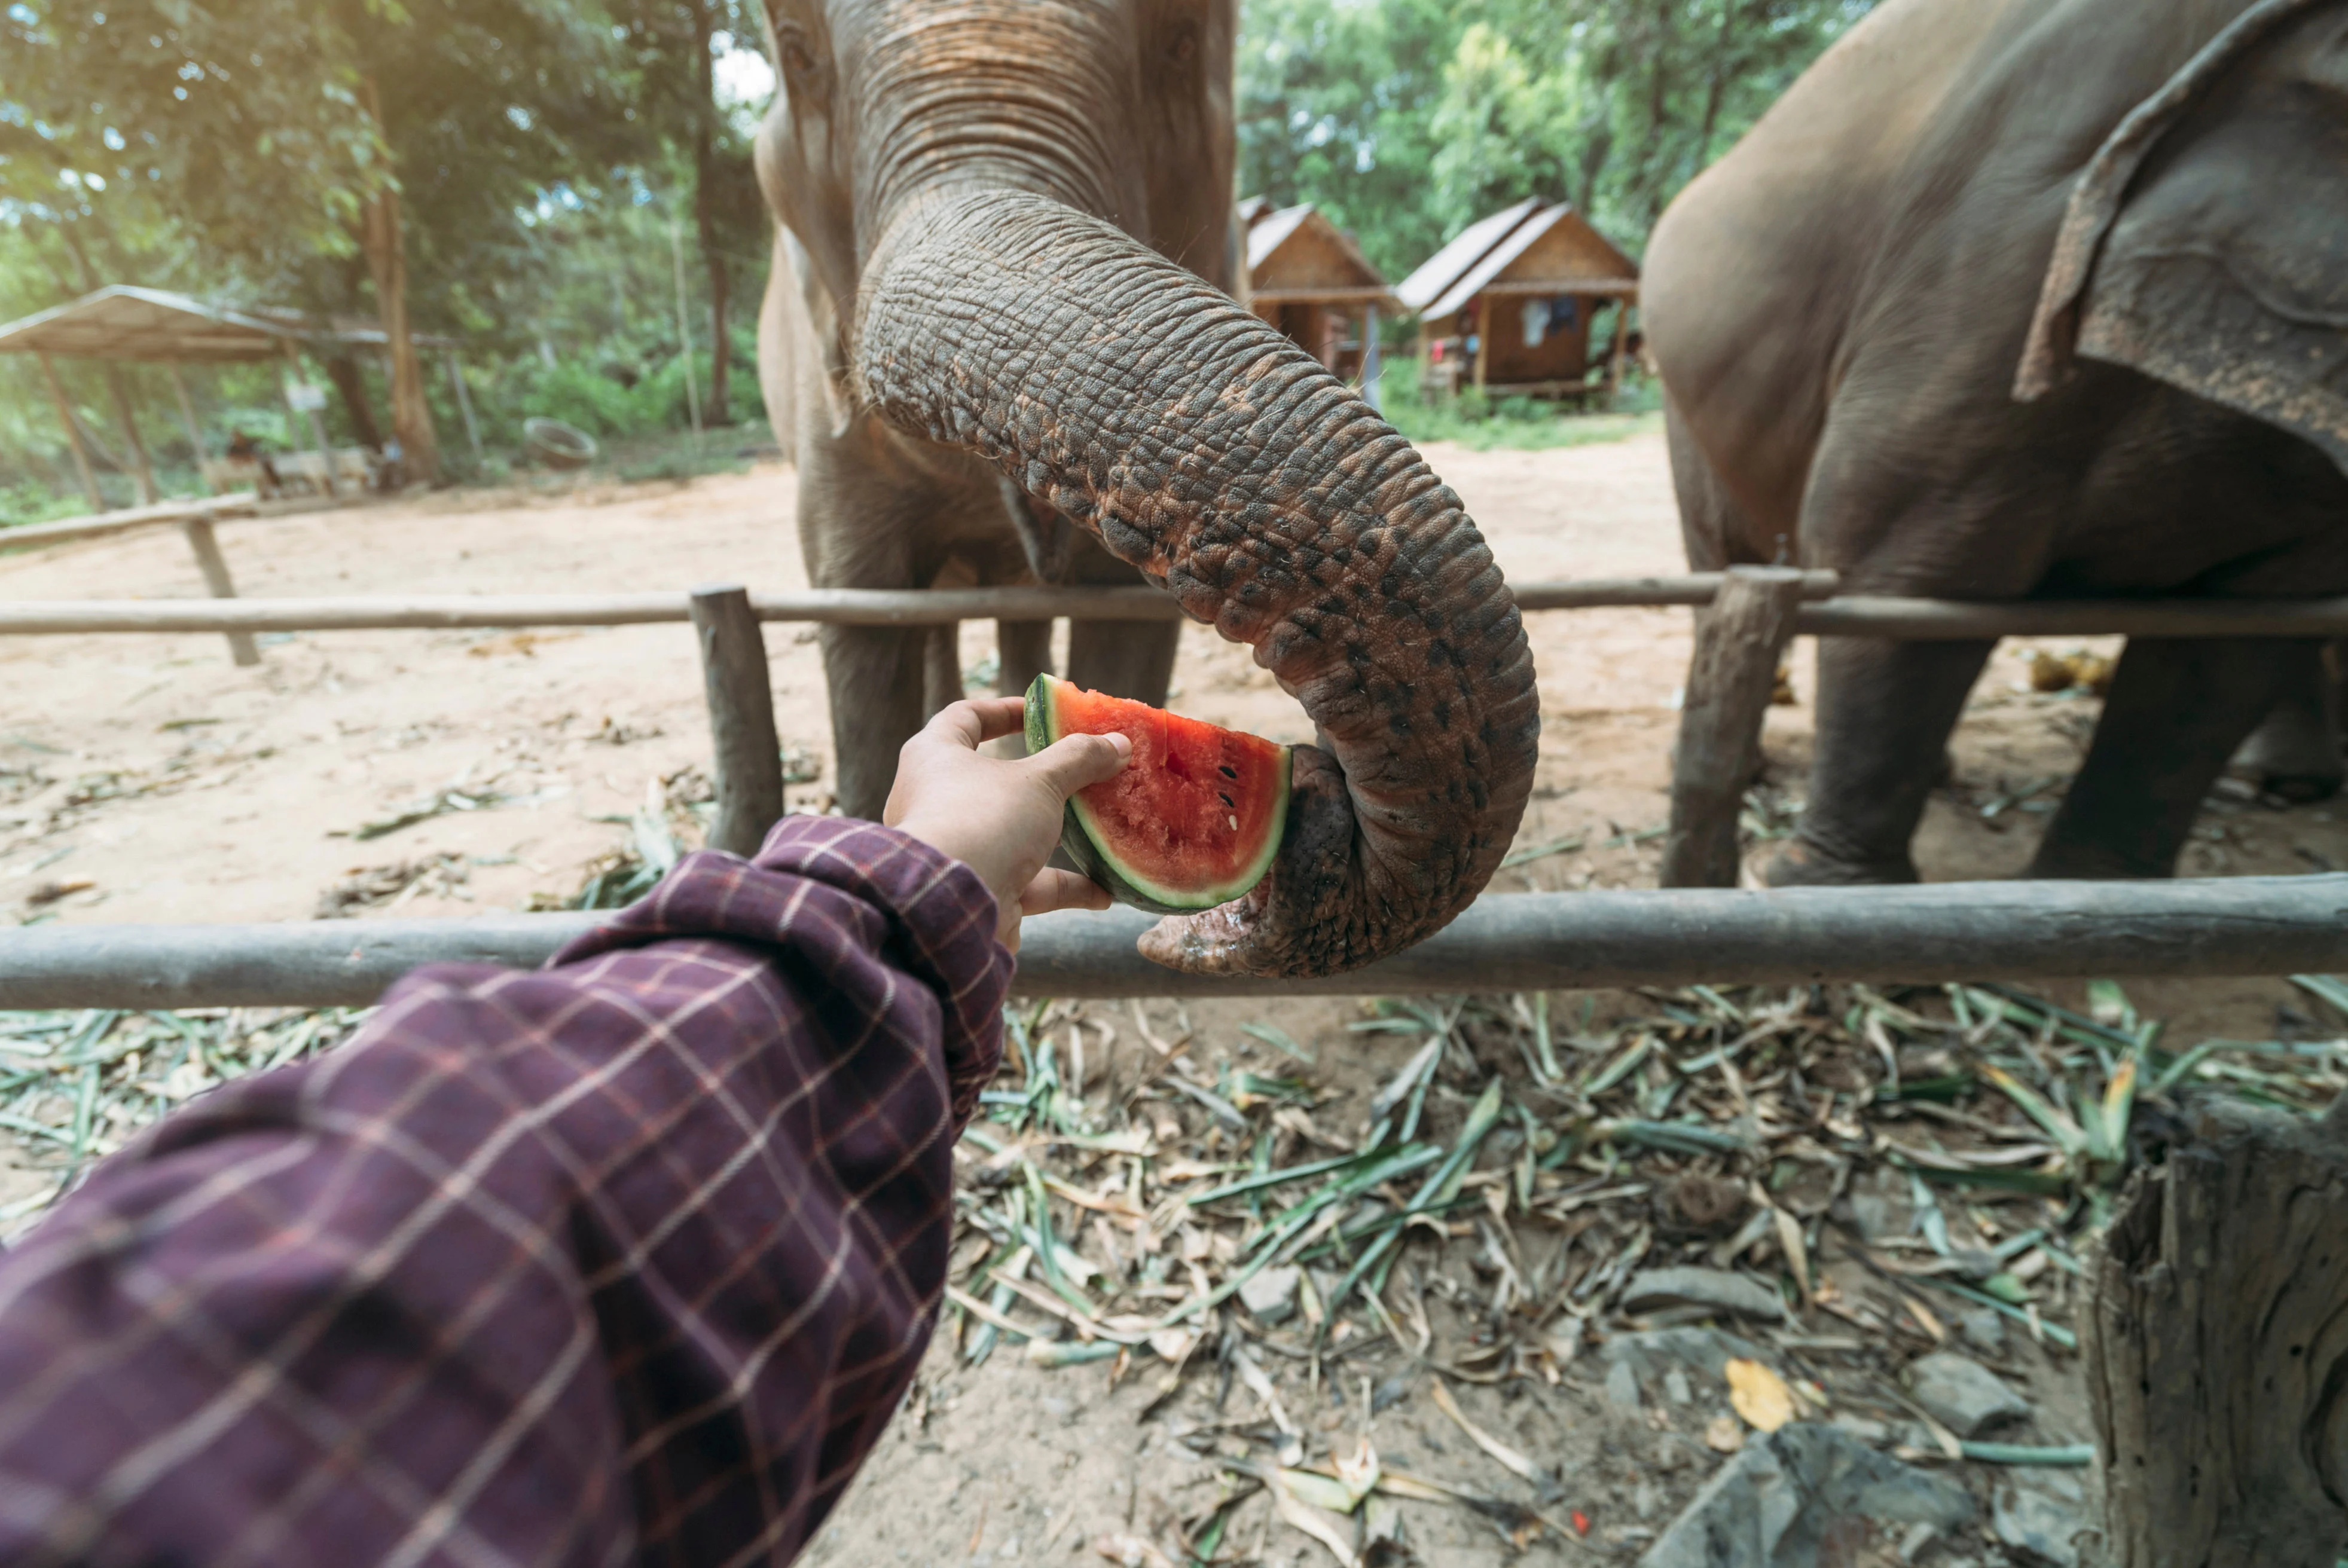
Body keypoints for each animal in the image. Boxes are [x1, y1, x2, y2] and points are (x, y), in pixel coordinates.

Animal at [1643, 0, 2348, 886]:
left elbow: (2233, 635)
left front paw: (2089, 897)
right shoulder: (1995, 272)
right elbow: (1907, 569)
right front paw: (1825, 892)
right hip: (1685, 397)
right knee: (1729, 554)